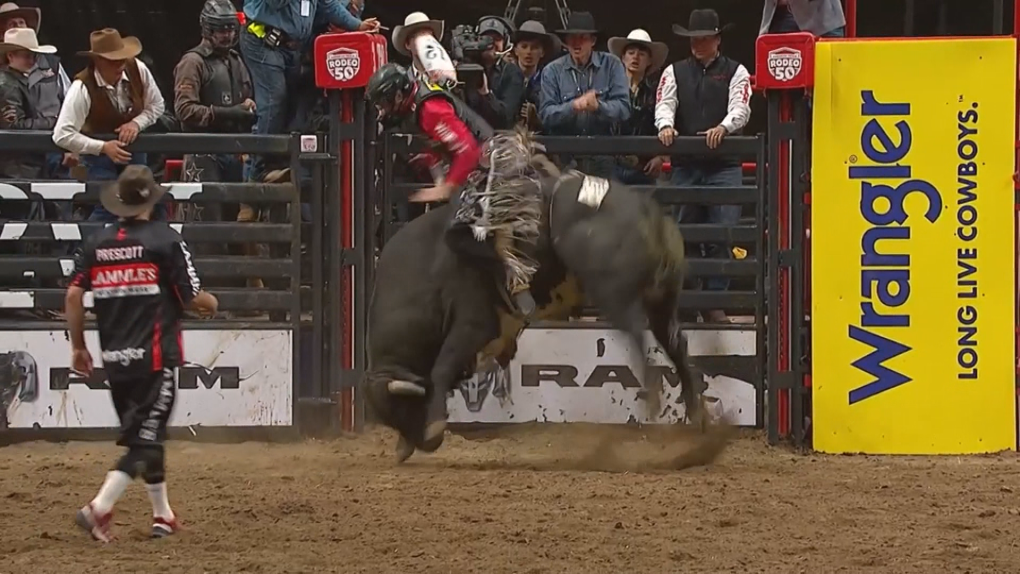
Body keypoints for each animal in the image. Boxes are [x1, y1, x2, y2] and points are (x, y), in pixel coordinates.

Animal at [365, 131, 701, 462]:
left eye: (404, 407)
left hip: (615, 294)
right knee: (676, 343)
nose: (421, 444)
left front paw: (435, 424)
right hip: (662, 298)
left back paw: (655, 397)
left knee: (638, 335)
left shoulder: (473, 325)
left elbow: (441, 369)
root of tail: (648, 213)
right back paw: (699, 416)